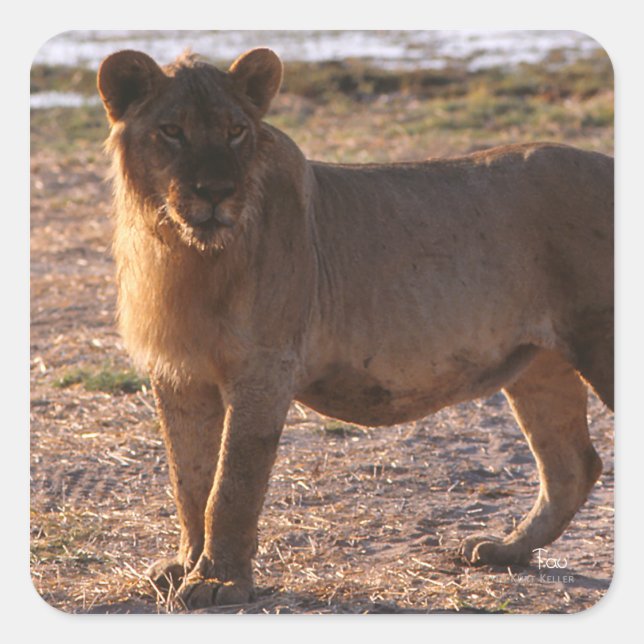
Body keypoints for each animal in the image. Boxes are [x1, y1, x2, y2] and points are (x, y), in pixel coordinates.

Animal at [97, 48, 613, 609]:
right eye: (171, 130)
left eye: (235, 131)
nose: (215, 192)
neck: (185, 251)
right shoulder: (180, 374)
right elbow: (189, 480)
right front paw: (184, 566)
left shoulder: (265, 368)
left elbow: (231, 486)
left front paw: (219, 581)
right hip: (539, 365)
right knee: (571, 466)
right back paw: (506, 550)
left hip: (600, 346)